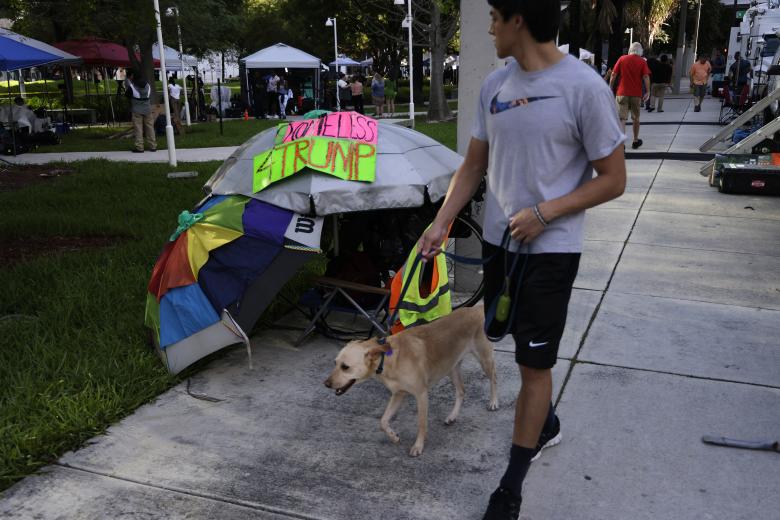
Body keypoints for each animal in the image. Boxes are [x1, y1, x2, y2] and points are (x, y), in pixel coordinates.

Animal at [322, 306, 500, 458]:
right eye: (335, 363)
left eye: (345, 367)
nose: (326, 384)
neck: (387, 357)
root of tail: (478, 308)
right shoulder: (398, 394)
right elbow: (382, 421)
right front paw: (393, 436)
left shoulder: (421, 395)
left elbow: (421, 424)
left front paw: (418, 446)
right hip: (452, 368)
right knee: (462, 391)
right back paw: (452, 416)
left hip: (484, 359)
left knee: (494, 378)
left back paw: (493, 402)